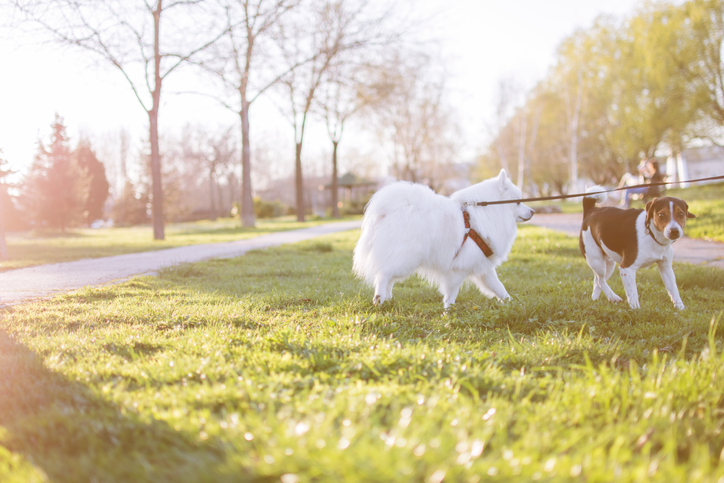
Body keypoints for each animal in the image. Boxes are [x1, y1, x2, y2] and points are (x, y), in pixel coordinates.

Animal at [354, 170, 536, 306]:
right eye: (518, 202)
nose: (533, 211)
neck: (489, 211)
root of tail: (390, 209)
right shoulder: (458, 267)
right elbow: (452, 292)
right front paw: (449, 311)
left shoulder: (482, 265)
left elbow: (498, 287)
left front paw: (512, 303)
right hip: (406, 259)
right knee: (383, 275)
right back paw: (379, 299)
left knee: (388, 276)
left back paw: (387, 298)